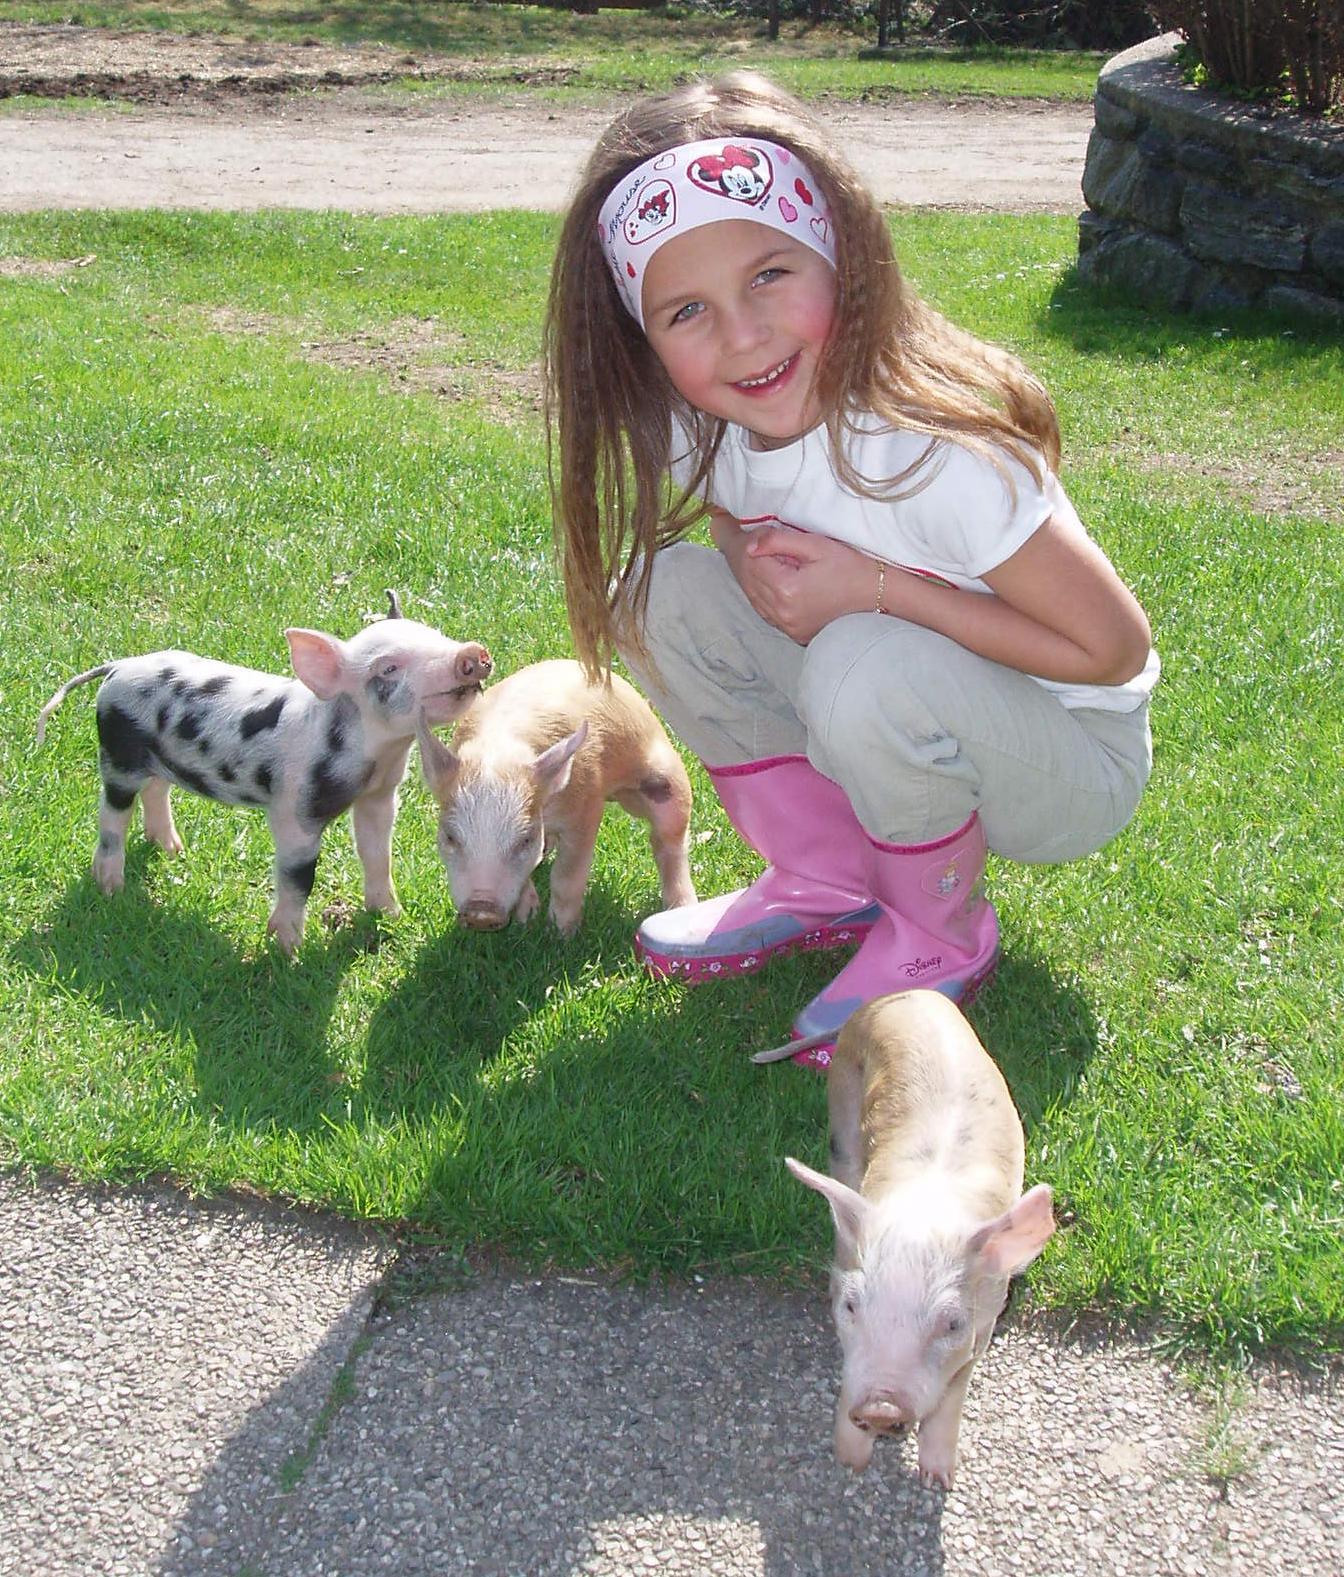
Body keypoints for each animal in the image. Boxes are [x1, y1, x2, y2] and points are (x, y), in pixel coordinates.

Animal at [35, 592, 492, 955]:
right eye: (389, 668)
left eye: (436, 635)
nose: (473, 654)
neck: (376, 755)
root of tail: (118, 666)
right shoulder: (293, 811)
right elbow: (298, 878)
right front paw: (289, 951)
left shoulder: (379, 796)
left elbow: (377, 854)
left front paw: (390, 914)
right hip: (118, 757)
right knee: (112, 814)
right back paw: (111, 888)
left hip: (159, 760)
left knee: (157, 790)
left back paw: (173, 850)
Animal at [416, 658, 695, 936]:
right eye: (449, 836)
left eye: (525, 840)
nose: (481, 913)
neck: (498, 753)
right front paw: (526, 919)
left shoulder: (586, 805)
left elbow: (567, 875)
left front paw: (560, 934)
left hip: (666, 779)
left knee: (668, 841)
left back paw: (681, 908)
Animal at [779, 990, 1054, 1489]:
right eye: (851, 1306)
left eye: (952, 1324)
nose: (881, 1407)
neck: (926, 1211)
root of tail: (899, 996)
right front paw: (851, 1463)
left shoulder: (985, 1323)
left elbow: (952, 1396)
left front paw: (937, 1480)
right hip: (841, 1109)